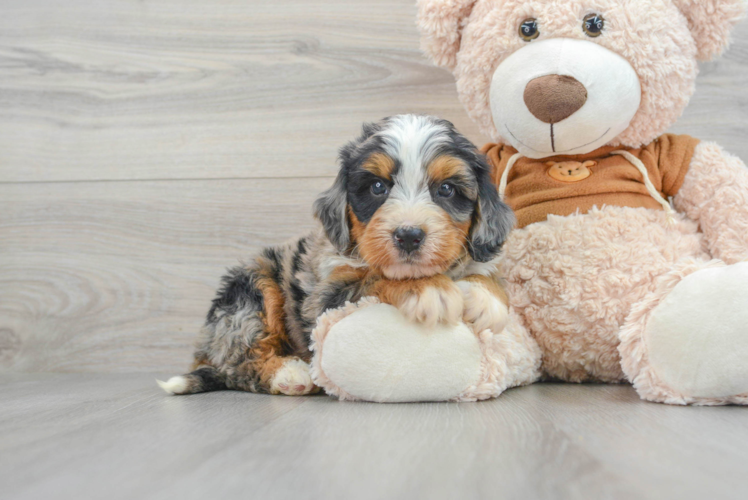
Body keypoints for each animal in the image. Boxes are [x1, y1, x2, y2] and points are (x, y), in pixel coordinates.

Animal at [159, 115, 516, 396]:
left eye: (446, 189)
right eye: (377, 187)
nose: (408, 235)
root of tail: (206, 348)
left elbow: (488, 276)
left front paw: (485, 297)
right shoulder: (325, 297)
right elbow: (375, 276)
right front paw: (429, 290)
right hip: (250, 291)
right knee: (240, 361)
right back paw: (291, 373)